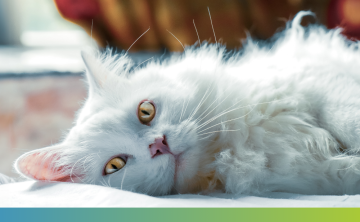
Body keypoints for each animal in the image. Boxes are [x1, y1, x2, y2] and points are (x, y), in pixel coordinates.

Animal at [14, 12, 360, 195]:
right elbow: (347, 170)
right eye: (115, 165)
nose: (158, 145)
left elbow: (347, 120)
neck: (234, 146)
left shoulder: (319, 81)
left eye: (146, 111)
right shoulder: (314, 177)